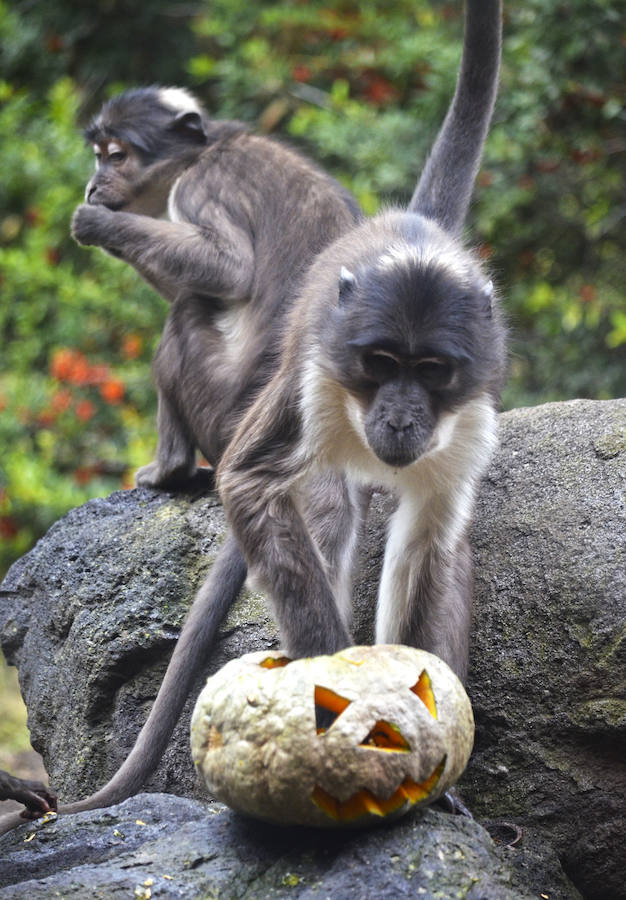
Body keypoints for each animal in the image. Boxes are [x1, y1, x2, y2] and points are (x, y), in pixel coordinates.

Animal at [217, 0, 504, 680]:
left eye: (431, 371)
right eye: (380, 363)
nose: (399, 419)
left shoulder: (472, 420)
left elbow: (429, 535)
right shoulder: (314, 380)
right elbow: (248, 482)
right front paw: (327, 662)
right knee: (329, 507)